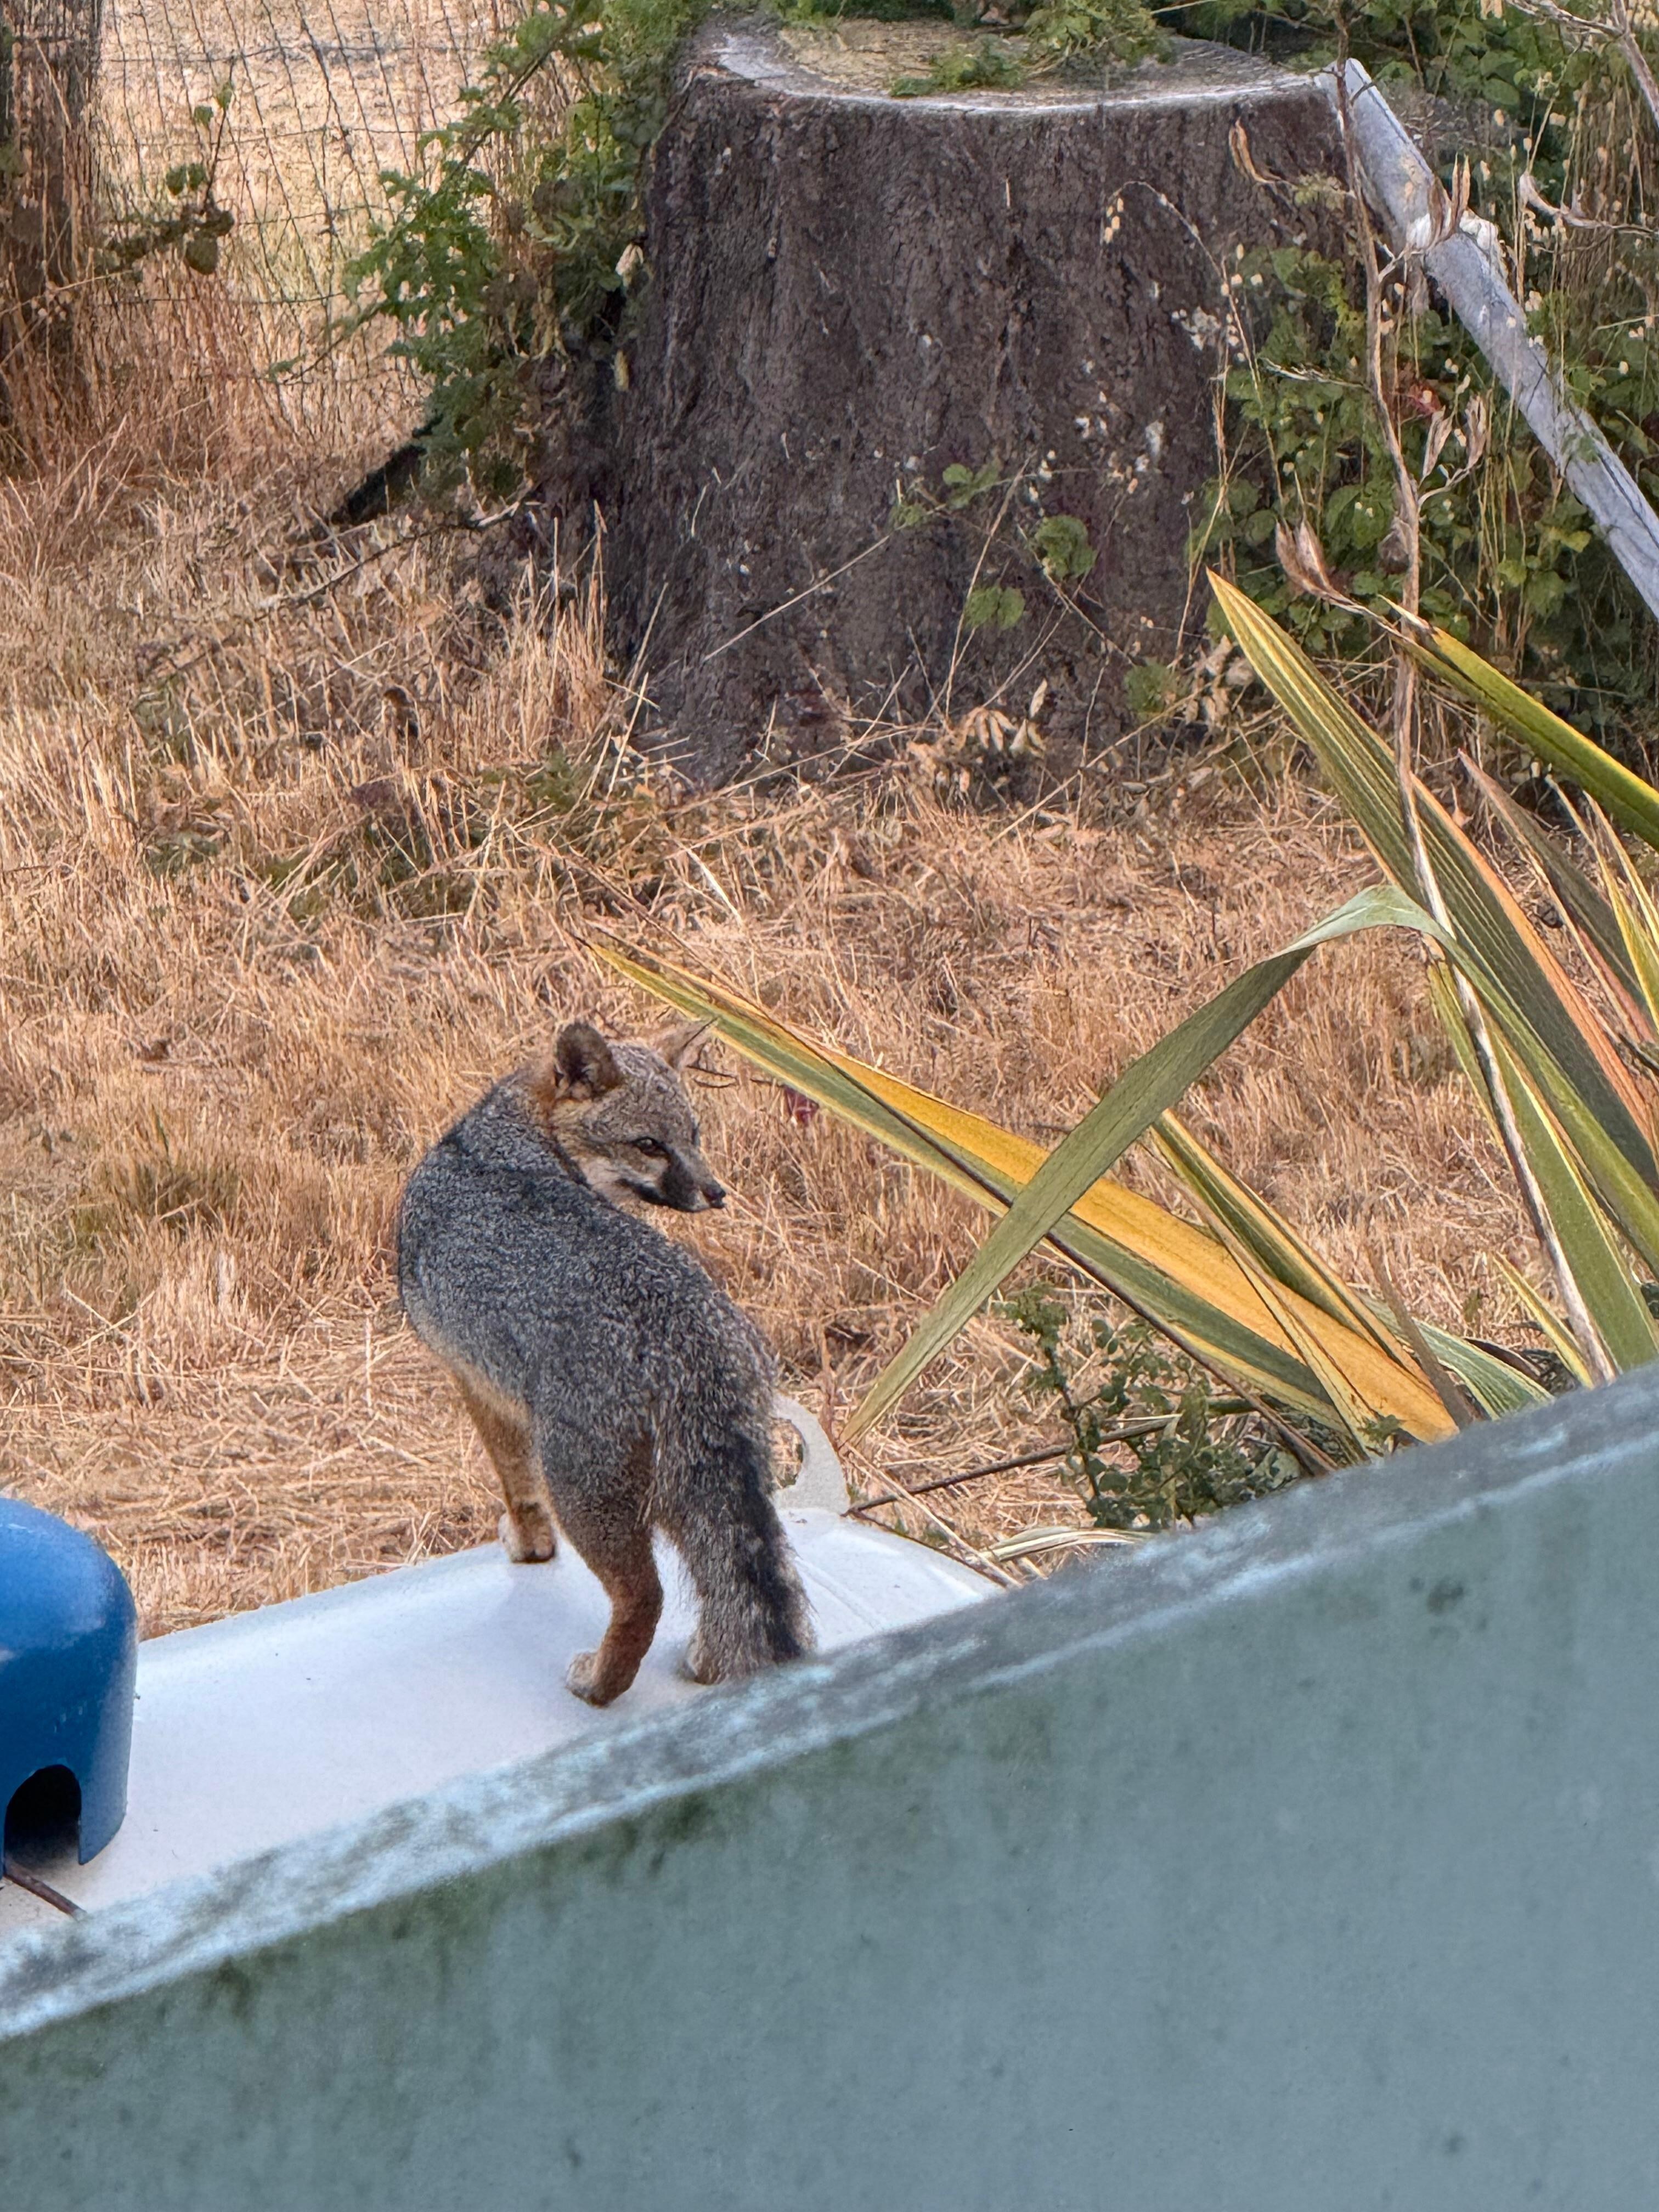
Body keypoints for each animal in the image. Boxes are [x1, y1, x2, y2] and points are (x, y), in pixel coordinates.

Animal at [396, 1017, 812, 1706]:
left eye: (692, 1136)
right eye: (651, 1145)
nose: (716, 1193)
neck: (494, 1137)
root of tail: (690, 1340)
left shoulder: (477, 1383)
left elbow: (515, 1485)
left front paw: (529, 1548)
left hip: (584, 1490)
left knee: (645, 1596)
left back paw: (599, 1682)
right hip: (707, 1490)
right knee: (731, 1587)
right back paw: (707, 1662)